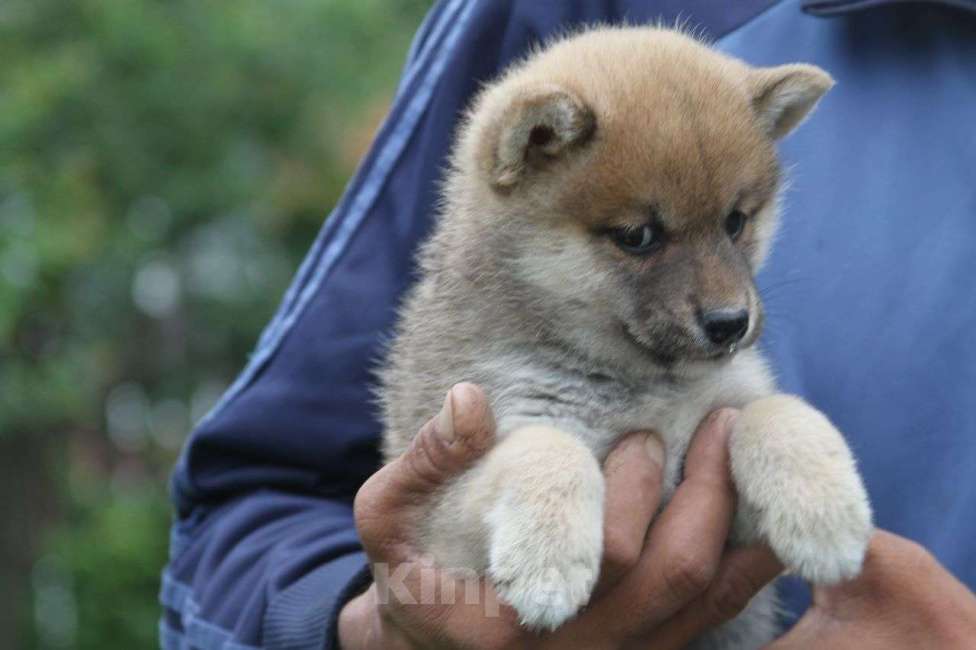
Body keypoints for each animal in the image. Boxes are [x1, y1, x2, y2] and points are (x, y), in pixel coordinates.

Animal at [378, 24, 872, 644]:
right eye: (637, 236)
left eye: (736, 221)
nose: (731, 323)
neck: (642, 385)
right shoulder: (439, 523)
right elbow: (549, 449)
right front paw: (548, 562)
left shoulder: (722, 487)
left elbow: (774, 411)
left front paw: (826, 511)